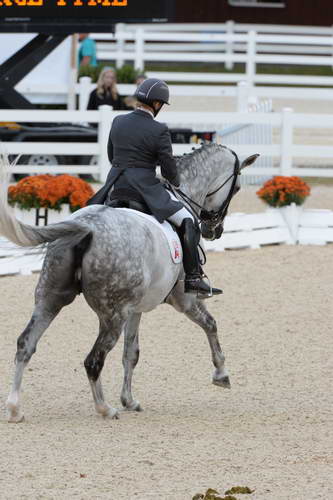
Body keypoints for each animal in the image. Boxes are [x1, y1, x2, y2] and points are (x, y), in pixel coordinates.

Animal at [0, 146, 256, 422]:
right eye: (237, 187)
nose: (213, 231)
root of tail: (85, 228)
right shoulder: (184, 300)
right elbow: (210, 324)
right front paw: (221, 374)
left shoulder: (135, 309)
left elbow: (131, 354)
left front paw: (129, 400)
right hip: (112, 315)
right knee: (93, 360)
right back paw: (104, 408)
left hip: (51, 299)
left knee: (25, 344)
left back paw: (15, 409)